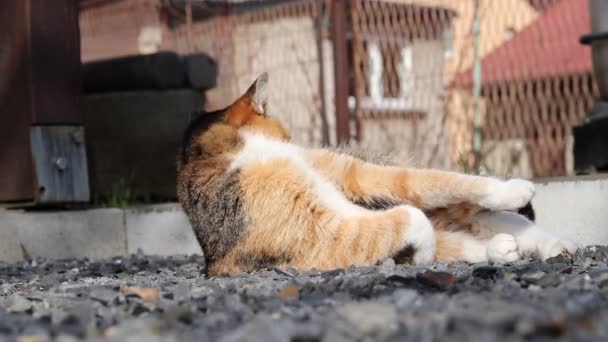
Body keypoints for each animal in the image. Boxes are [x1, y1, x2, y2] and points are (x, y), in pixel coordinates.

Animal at [177, 73, 580, 276]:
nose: (292, 140)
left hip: (462, 210)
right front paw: (426, 252)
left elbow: (433, 180)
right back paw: (501, 250)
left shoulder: (354, 173)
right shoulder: (326, 237)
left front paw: (509, 189)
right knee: (461, 234)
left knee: (506, 219)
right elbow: (411, 219)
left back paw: (554, 245)